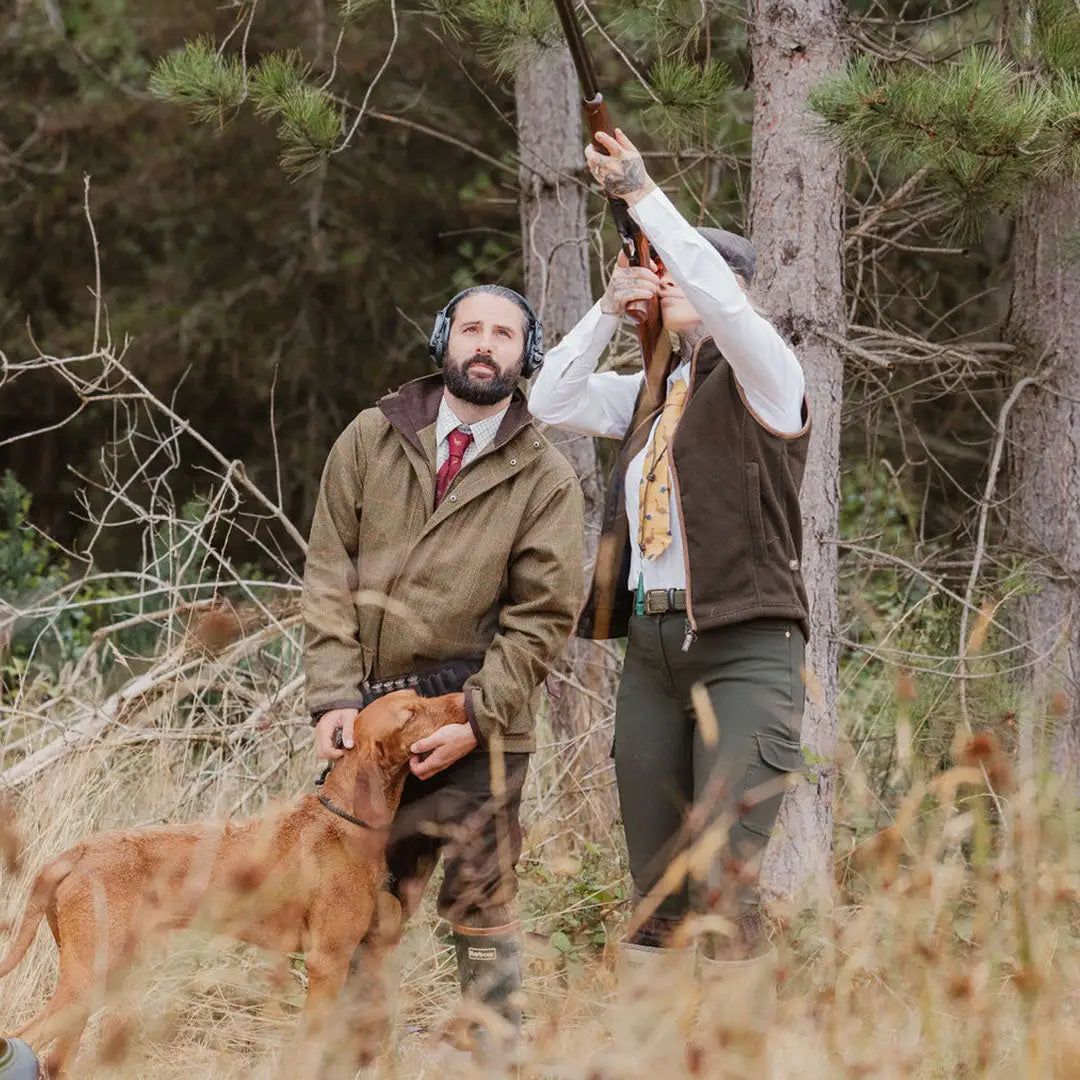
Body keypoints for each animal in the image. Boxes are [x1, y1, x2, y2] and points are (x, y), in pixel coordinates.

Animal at [0, 691, 460, 1071]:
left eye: (419, 696)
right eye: (410, 713)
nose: (461, 699)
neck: (344, 819)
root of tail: (75, 853)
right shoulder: (328, 962)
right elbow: (311, 1045)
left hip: (94, 977)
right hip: (89, 976)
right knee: (23, 1037)